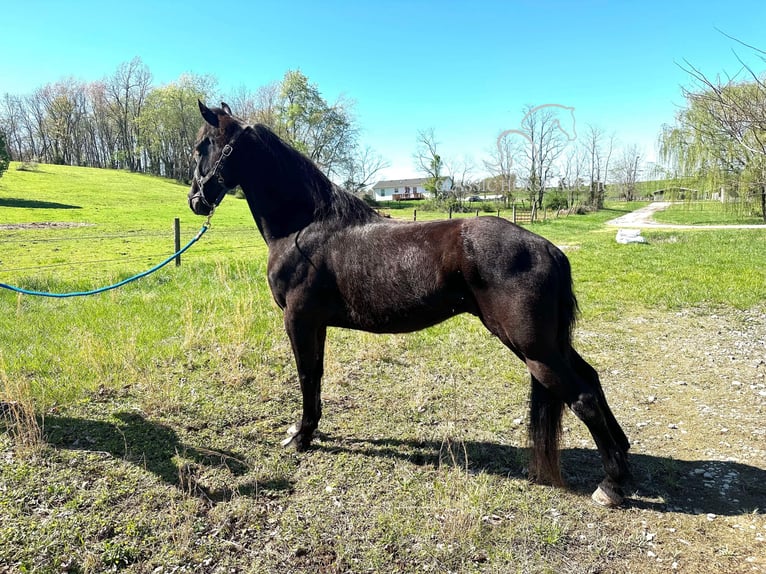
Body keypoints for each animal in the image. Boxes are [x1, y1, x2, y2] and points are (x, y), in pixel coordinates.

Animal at [189, 103, 632, 508]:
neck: (305, 227)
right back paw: (624, 457)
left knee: (583, 397)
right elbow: (316, 376)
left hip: (533, 349)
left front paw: (300, 436)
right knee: (592, 378)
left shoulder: (298, 321)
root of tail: (548, 249)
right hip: (550, 344)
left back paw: (611, 485)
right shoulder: (316, 325)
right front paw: (311, 429)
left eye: (201, 147)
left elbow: (305, 376)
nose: (196, 200)